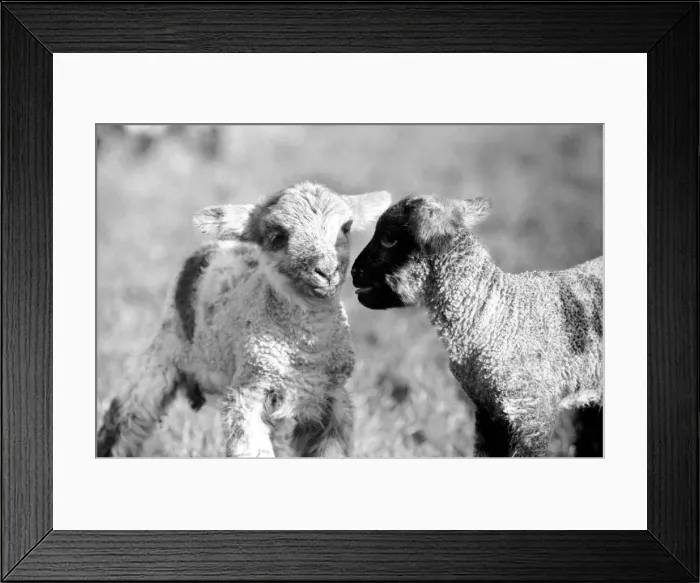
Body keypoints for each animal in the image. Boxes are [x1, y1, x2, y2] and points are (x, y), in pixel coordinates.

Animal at [96, 181, 391, 458]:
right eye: (277, 237)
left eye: (346, 228)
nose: (327, 271)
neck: (306, 354)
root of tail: (217, 245)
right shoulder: (249, 392)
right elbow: (252, 450)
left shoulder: (332, 400)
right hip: (167, 346)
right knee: (128, 413)